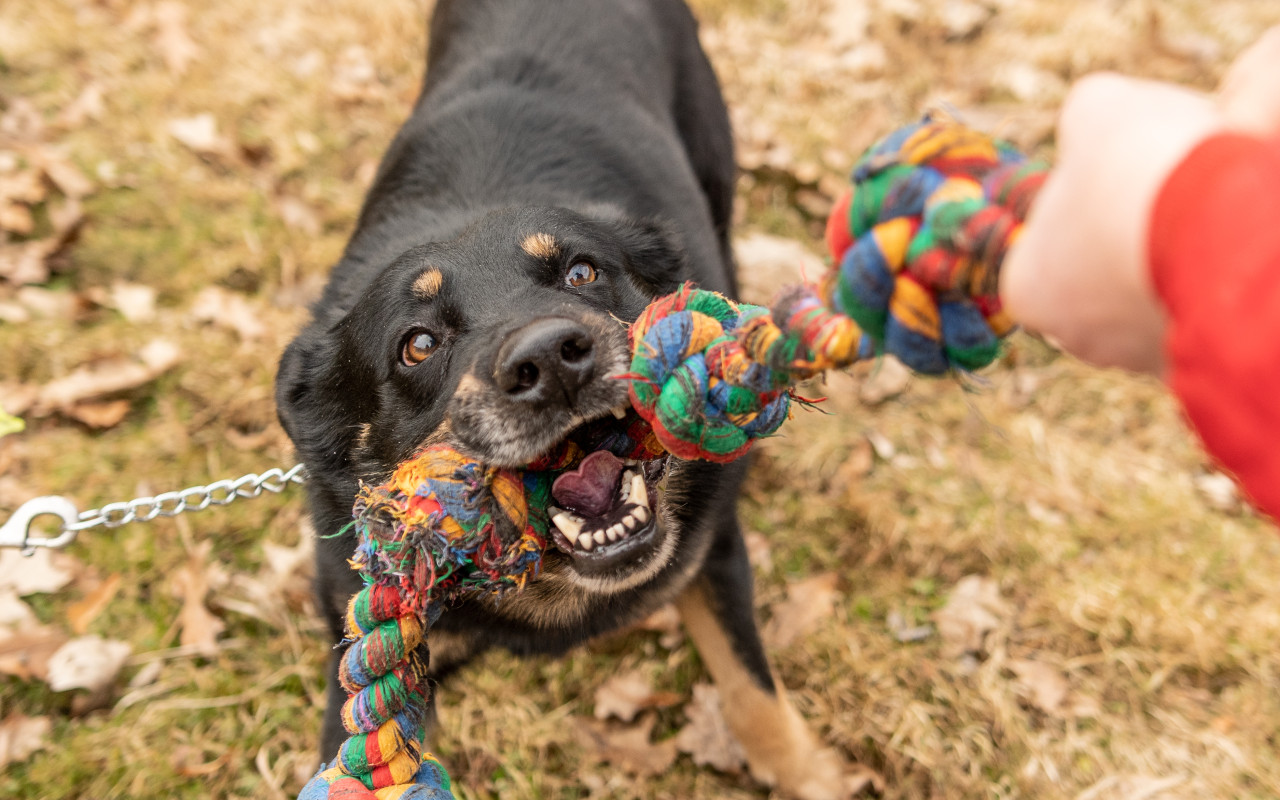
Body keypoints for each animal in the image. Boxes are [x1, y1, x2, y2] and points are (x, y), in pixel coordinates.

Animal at [279, 3, 855, 793]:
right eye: (417, 344)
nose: (551, 359)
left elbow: (748, 681)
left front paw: (805, 773)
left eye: (582, 272)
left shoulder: (710, 550)